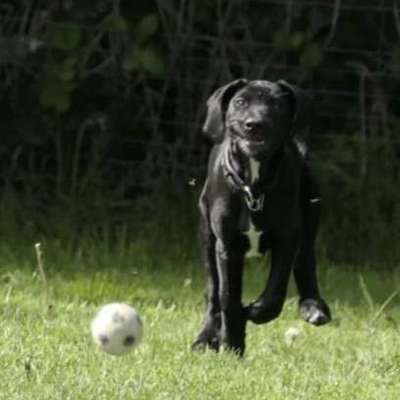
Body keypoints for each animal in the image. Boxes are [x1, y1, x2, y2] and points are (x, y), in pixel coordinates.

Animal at [193, 79, 332, 354]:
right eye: (240, 102)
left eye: (276, 105)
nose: (254, 124)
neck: (254, 188)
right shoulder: (227, 247)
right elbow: (227, 297)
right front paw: (232, 342)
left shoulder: (287, 239)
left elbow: (275, 293)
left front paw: (254, 312)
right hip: (207, 237)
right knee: (213, 292)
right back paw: (206, 337)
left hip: (310, 212)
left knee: (306, 262)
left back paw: (313, 306)